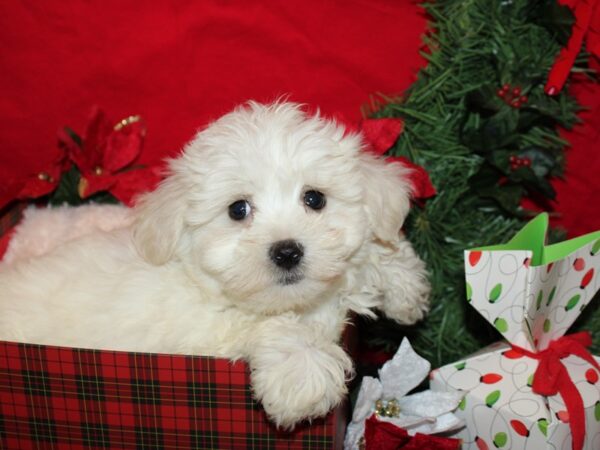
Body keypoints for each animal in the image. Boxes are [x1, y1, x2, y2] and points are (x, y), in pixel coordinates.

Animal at [0, 103, 432, 428]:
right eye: (237, 210)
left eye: (314, 199)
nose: (287, 252)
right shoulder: (204, 329)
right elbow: (267, 326)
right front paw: (303, 371)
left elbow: (372, 255)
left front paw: (403, 284)